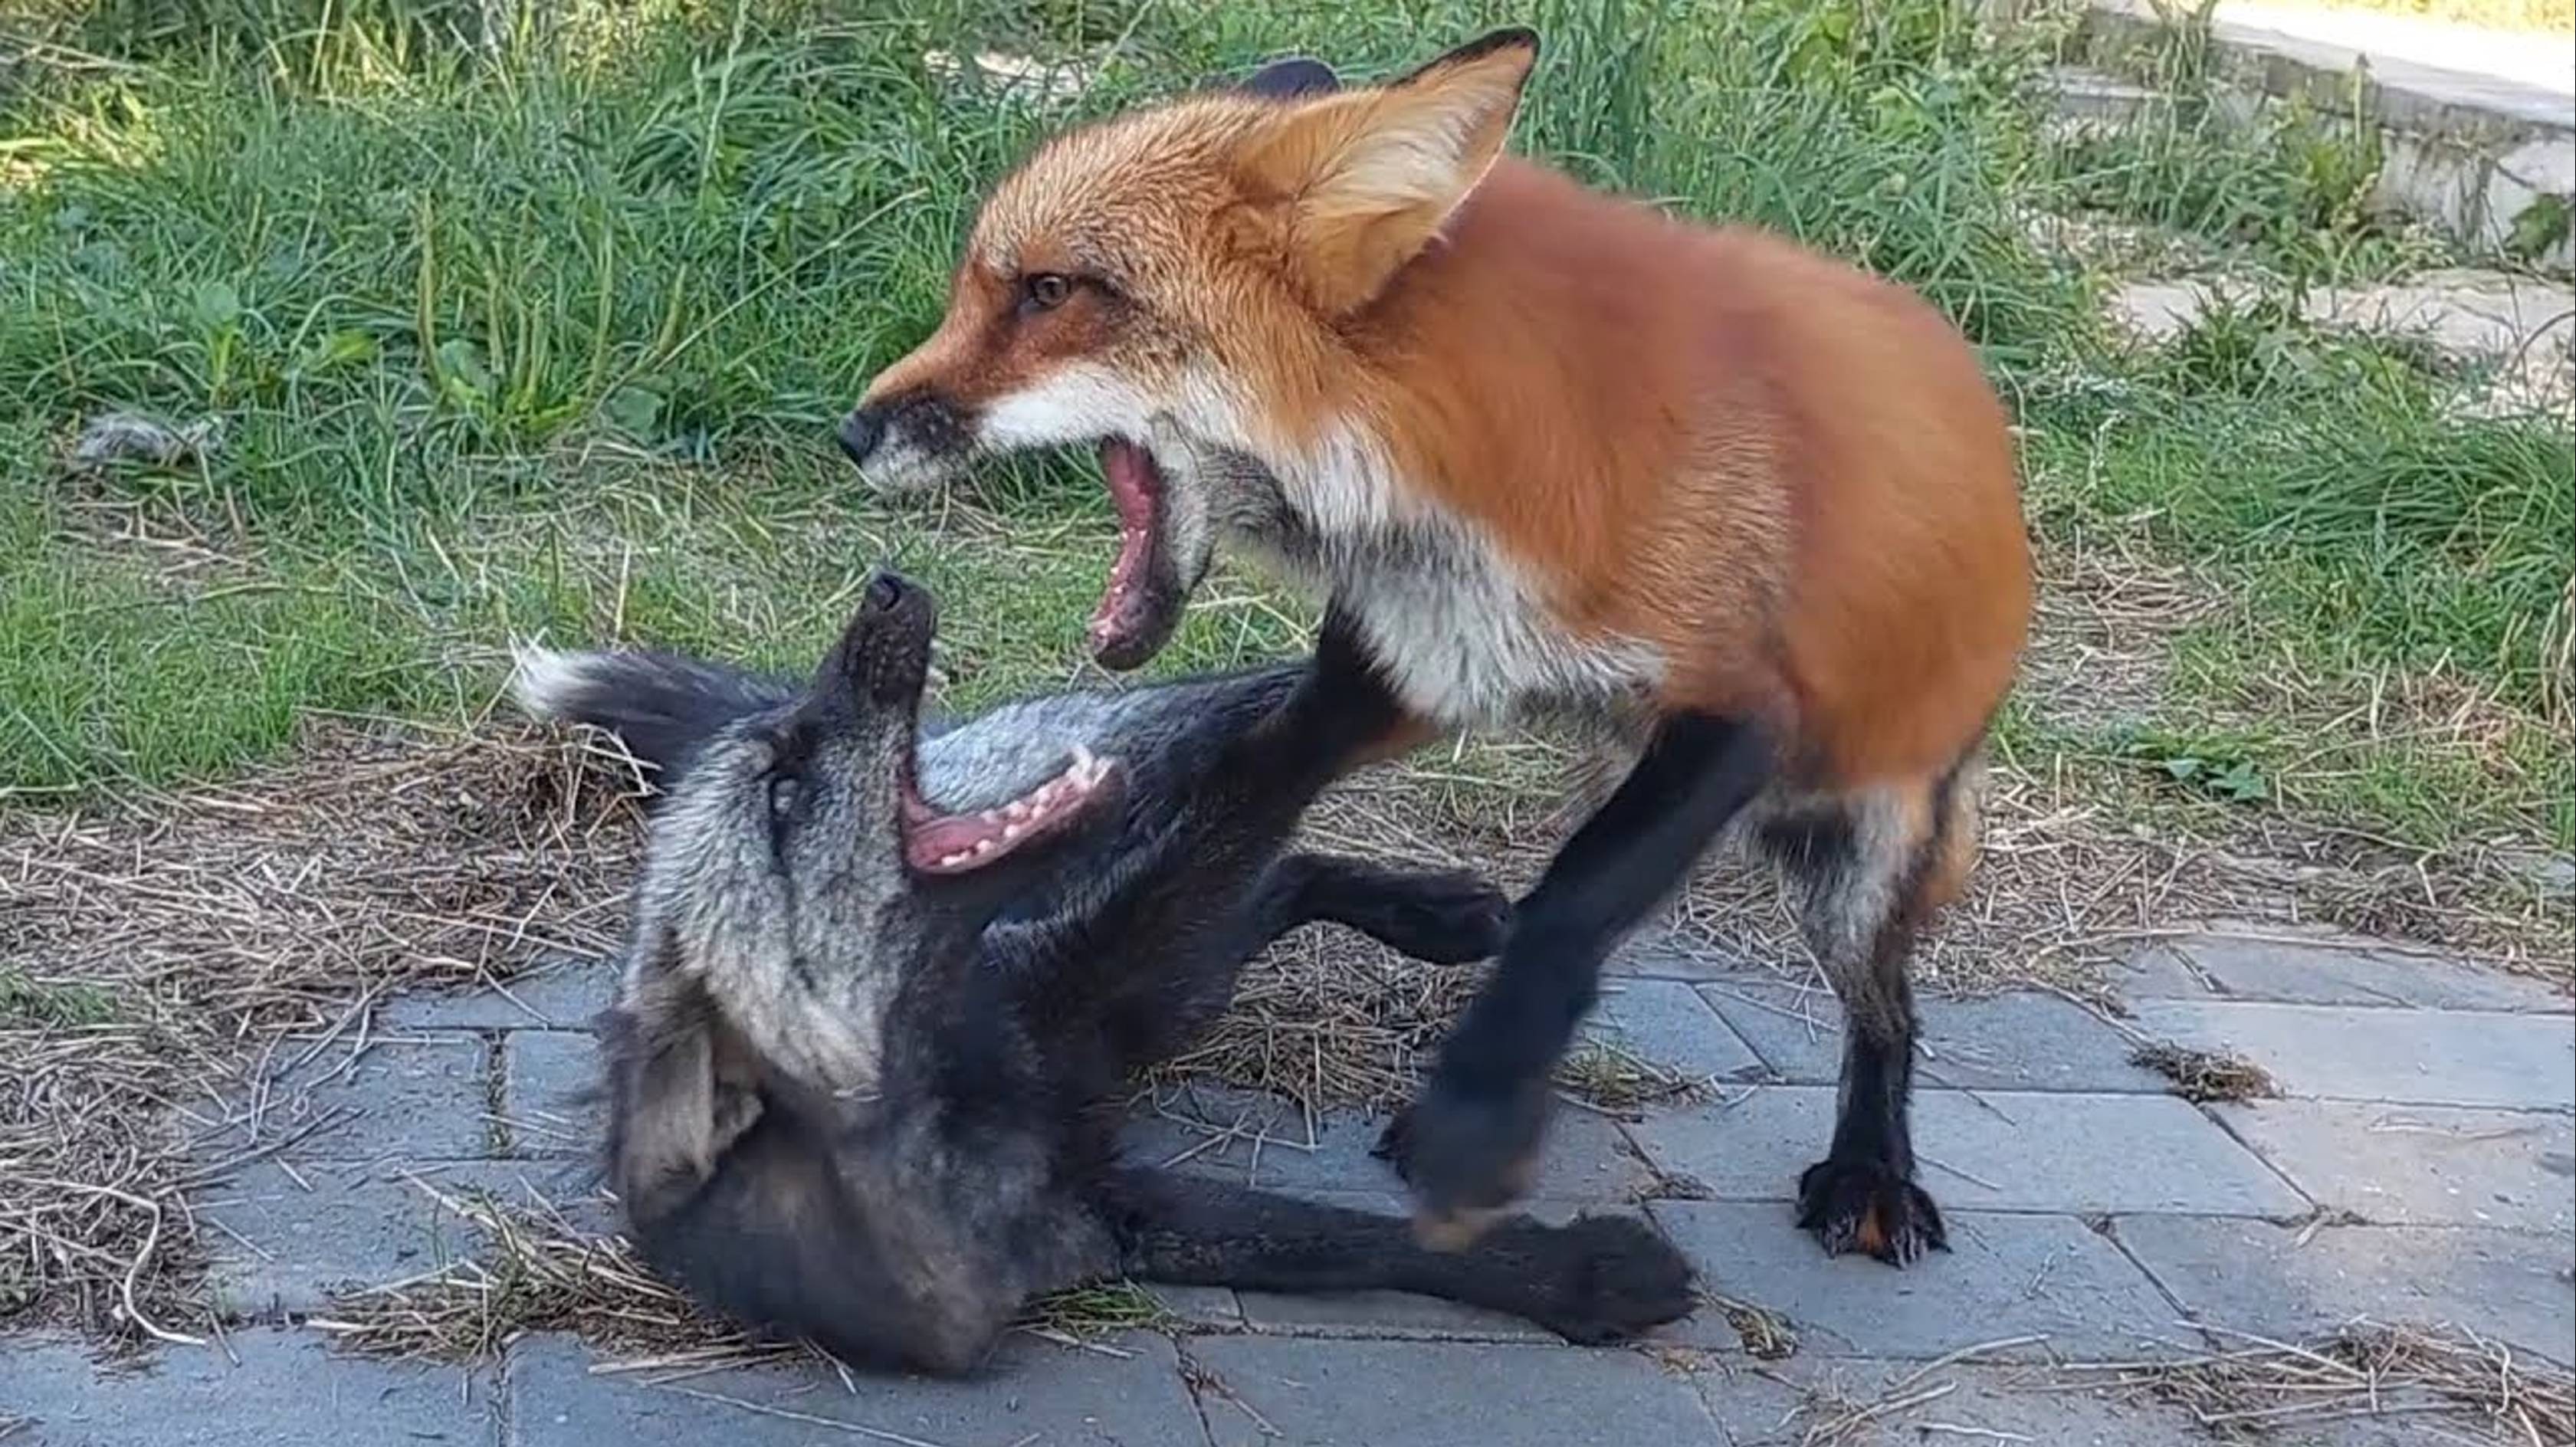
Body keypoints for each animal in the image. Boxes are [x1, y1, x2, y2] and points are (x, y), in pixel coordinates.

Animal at [507, 569, 1697, 1374]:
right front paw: (1584, 1278)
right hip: (1169, 990)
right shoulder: (1118, 1215)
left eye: (784, 764)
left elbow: (1253, 783)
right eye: (783, 794)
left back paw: (1435, 891)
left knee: (1244, 785)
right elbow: (1362, 1243)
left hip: (1151, 935)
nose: (884, 587)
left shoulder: (1077, 981)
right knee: (1260, 868)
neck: (950, 1103)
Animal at [831, 34, 2035, 1268]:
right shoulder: (1391, 674)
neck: (1447, 489)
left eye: (1048, 291)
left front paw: (1477, 1116)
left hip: (1850, 848)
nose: (853, 432)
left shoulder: (1735, 711)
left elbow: (1569, 902)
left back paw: (1871, 1167)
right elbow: (1230, 796)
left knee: (1888, 1010)